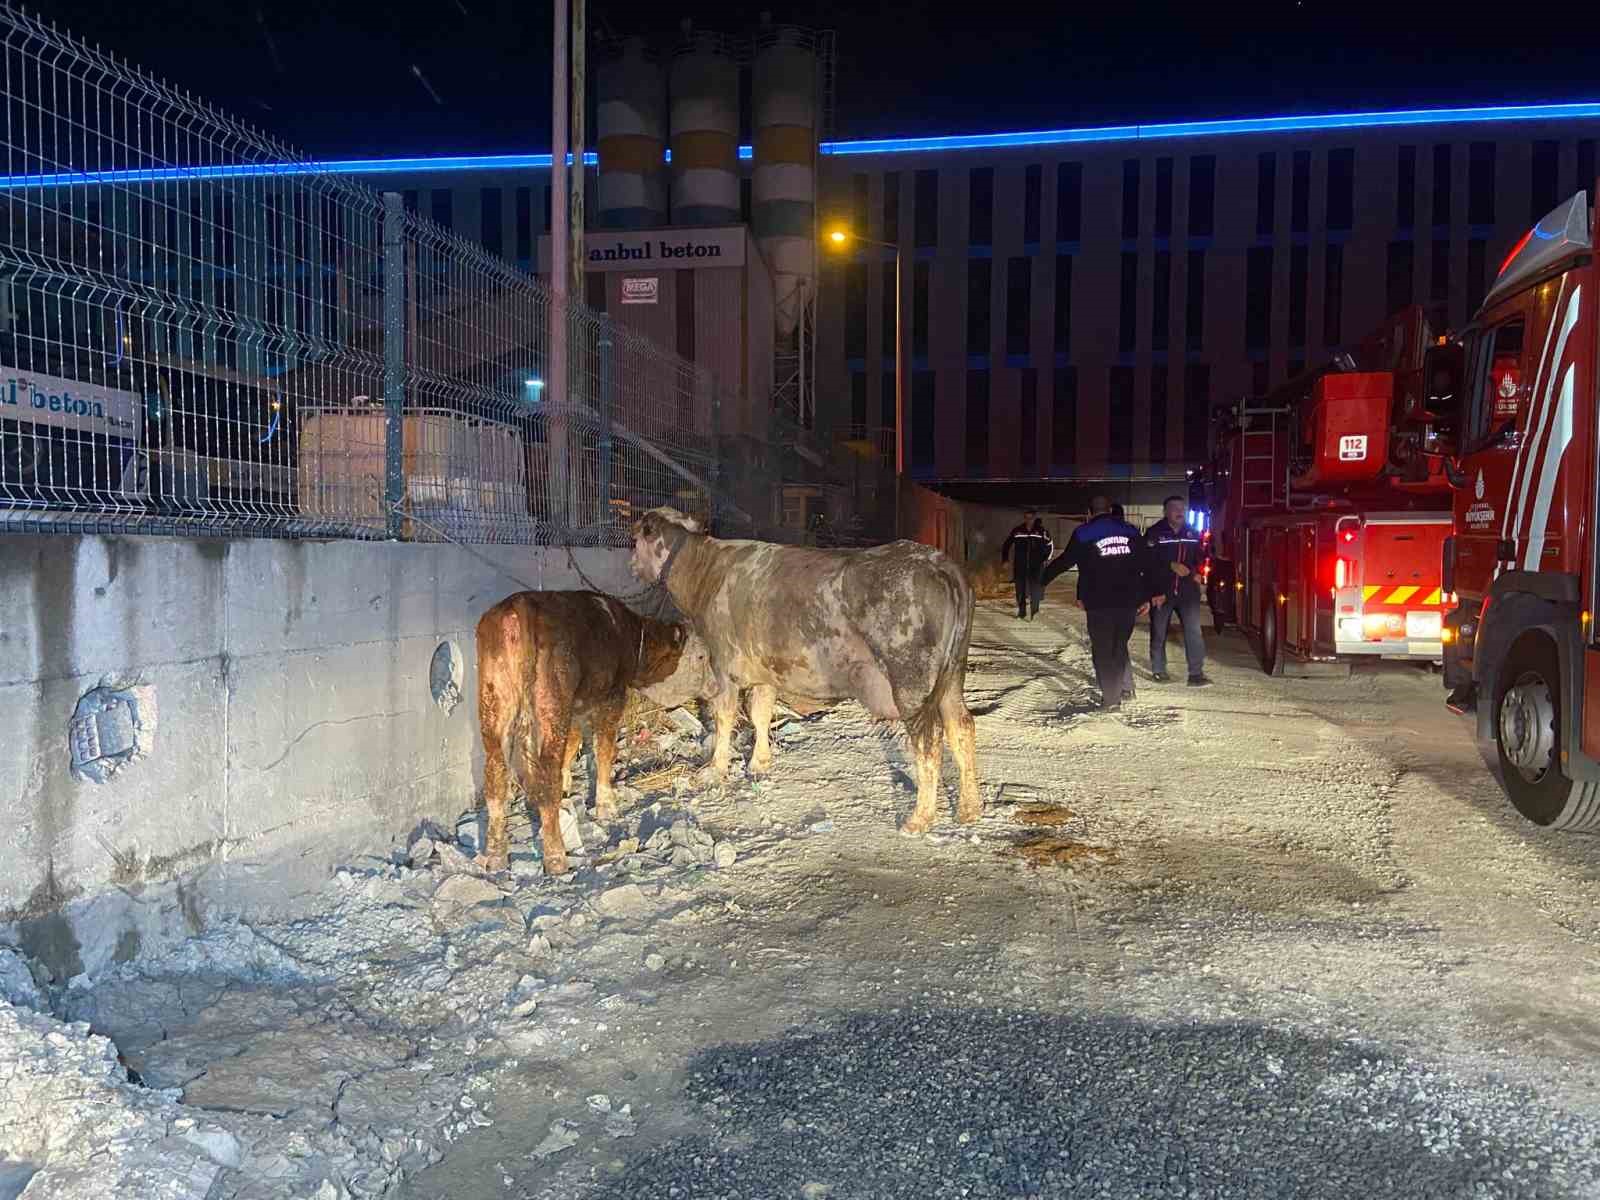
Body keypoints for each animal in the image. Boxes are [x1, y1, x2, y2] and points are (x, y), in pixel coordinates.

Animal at [467, 592, 707, 876]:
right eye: (701, 657)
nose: (708, 686)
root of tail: (518, 607)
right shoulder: (611, 697)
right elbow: (603, 749)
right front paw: (606, 805)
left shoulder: (576, 706)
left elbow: (574, 742)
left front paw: (568, 783)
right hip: (552, 698)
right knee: (547, 773)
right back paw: (556, 857)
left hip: (494, 698)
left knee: (496, 772)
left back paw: (496, 855)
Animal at [624, 508, 972, 838]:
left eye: (635, 540)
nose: (631, 565)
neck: (702, 571)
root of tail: (937, 561)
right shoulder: (764, 670)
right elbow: (760, 713)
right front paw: (760, 762)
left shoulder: (723, 666)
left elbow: (724, 719)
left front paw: (715, 769)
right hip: (952, 675)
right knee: (962, 727)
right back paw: (970, 808)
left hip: (910, 679)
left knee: (929, 740)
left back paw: (919, 819)